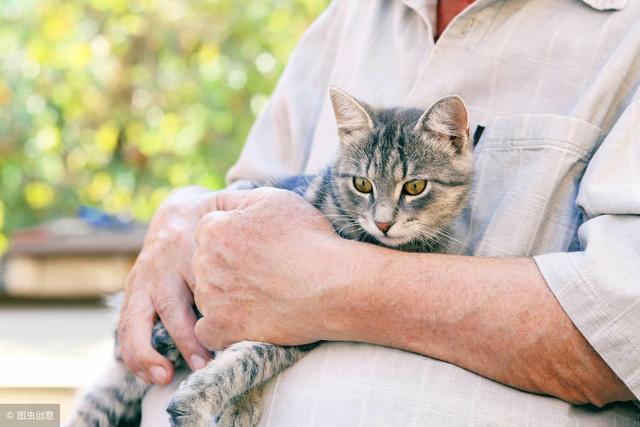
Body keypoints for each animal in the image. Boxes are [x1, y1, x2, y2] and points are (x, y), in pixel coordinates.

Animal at [67, 88, 472, 427]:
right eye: (362, 184)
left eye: (415, 186)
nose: (383, 222)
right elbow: (236, 350)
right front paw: (225, 401)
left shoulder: (301, 324)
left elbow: (252, 355)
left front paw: (228, 401)